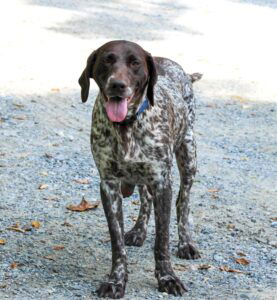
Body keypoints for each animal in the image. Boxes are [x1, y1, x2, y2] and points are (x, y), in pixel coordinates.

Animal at [77, 39, 201, 298]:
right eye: (107, 60)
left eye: (135, 63)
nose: (117, 85)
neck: (126, 126)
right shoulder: (109, 186)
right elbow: (117, 243)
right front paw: (116, 280)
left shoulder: (162, 183)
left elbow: (162, 240)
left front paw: (167, 277)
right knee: (145, 199)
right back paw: (139, 230)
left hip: (188, 156)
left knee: (183, 202)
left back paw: (186, 243)